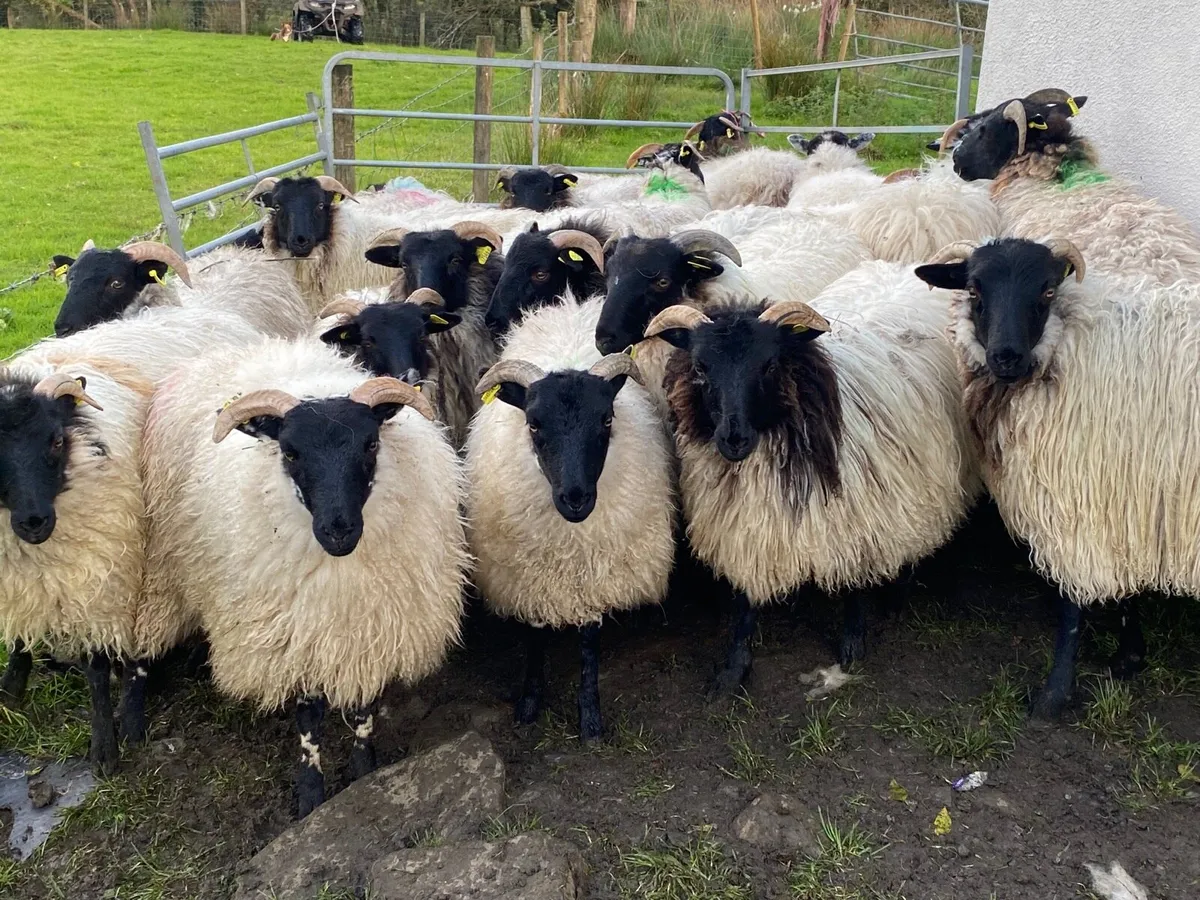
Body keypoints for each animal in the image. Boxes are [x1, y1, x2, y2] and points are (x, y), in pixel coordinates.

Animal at [0, 306, 265, 774]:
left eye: (56, 440)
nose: (34, 521)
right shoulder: (21, 574)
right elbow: (19, 634)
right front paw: (11, 687)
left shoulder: (103, 576)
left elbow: (96, 666)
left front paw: (105, 746)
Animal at [141, 340, 468, 816]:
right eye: (291, 452)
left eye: (371, 443)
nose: (338, 529)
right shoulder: (297, 634)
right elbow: (309, 717)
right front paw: (311, 792)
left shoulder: (371, 627)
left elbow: (364, 704)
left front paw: (363, 768)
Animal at [466, 297, 675, 741]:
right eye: (533, 423)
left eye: (607, 419)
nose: (576, 499)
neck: (568, 544)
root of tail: (570, 304)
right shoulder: (527, 575)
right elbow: (534, 638)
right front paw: (529, 702)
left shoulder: (595, 575)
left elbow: (589, 644)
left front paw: (590, 717)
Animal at [639, 266, 979, 694]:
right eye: (700, 367)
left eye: (769, 365)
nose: (733, 439)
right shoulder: (743, 522)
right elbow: (743, 603)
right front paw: (733, 670)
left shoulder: (859, 514)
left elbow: (854, 585)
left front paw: (852, 647)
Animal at [914, 236, 1200, 719]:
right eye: (973, 290)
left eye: (1048, 291)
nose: (1006, 356)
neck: (1065, 349)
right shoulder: (1122, 496)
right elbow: (1125, 589)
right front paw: (1129, 657)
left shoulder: (1080, 492)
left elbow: (1072, 604)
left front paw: (1053, 696)